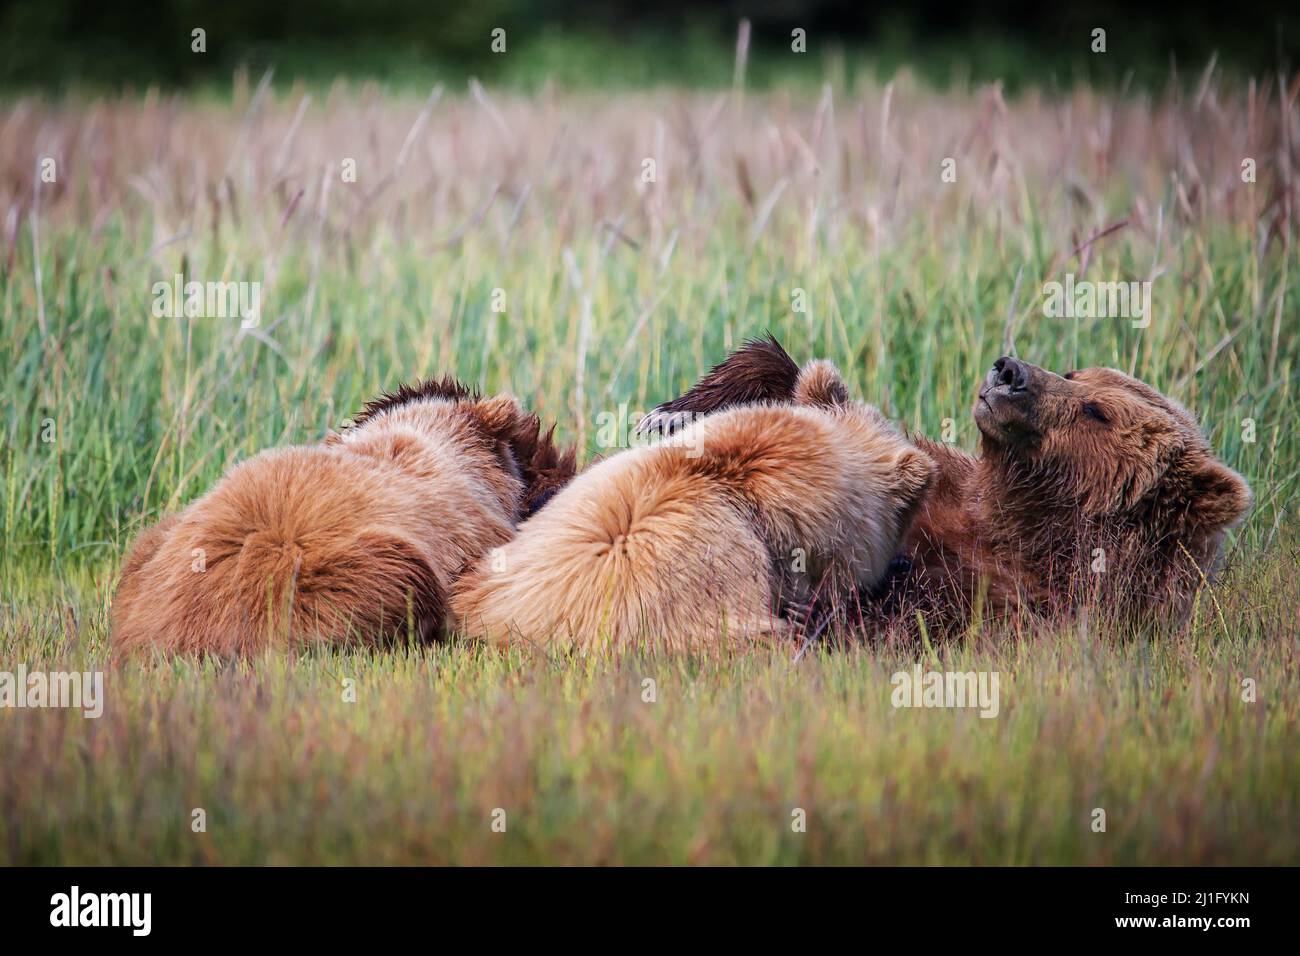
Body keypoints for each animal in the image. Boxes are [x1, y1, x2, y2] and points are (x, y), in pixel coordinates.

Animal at [644, 340, 1253, 632]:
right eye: (1075, 373)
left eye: (1096, 412)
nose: (1009, 371)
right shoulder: (948, 486)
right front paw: (671, 415)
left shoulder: (1010, 603)